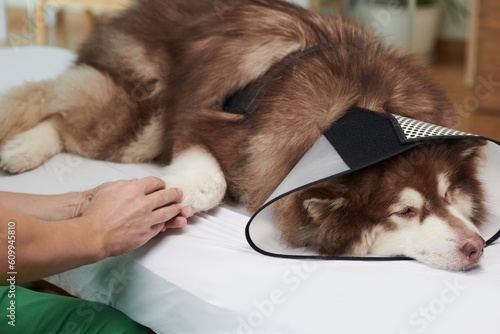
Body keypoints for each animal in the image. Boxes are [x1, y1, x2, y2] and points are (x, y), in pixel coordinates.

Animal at [0, 0, 486, 270]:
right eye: (406, 211)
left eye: (448, 195)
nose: (477, 246)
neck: (358, 111)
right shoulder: (201, 125)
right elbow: (211, 181)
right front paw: (166, 194)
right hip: (140, 123)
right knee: (54, 102)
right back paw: (22, 148)